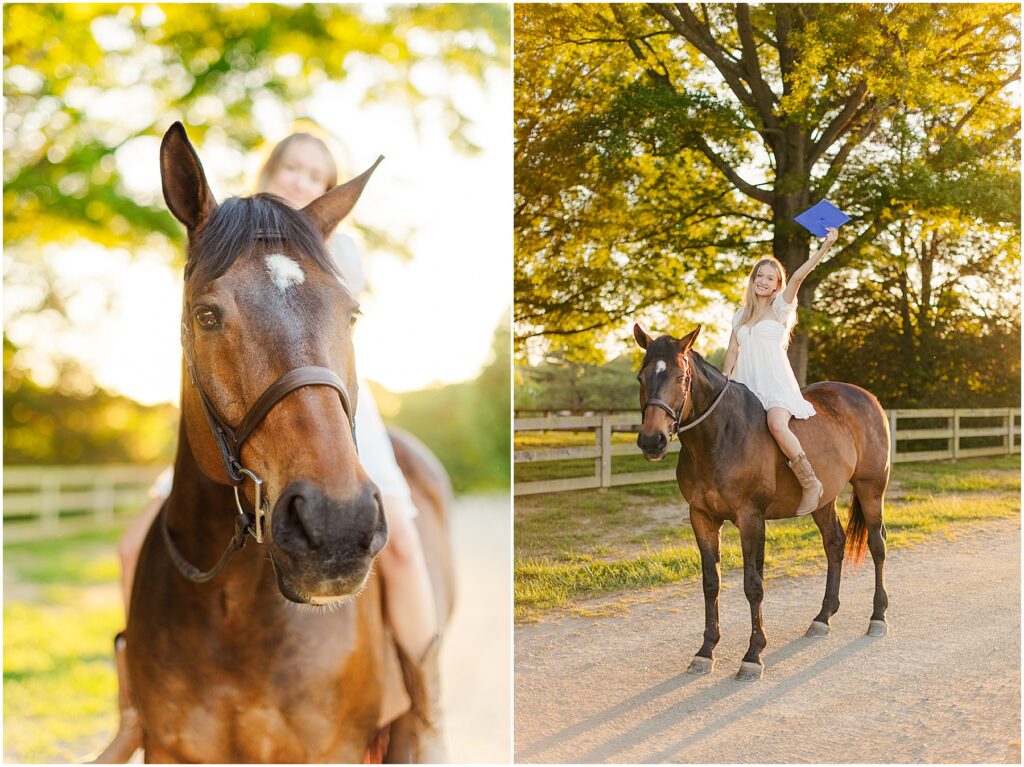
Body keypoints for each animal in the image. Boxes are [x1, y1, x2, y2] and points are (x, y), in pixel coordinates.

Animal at [630, 323, 888, 684]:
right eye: (641, 377)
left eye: (681, 377)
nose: (652, 441)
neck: (721, 436)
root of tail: (868, 397)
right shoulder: (702, 518)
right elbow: (711, 583)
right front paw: (705, 650)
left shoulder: (751, 518)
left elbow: (753, 584)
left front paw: (753, 655)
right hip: (823, 500)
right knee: (834, 544)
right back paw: (823, 617)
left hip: (871, 488)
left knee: (877, 546)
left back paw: (878, 616)